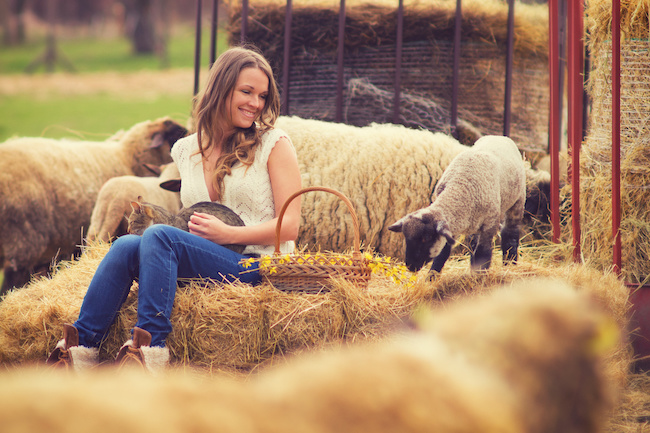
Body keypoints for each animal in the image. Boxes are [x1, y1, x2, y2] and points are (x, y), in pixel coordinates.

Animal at [388, 135, 524, 276]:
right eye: (406, 237)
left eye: (427, 238)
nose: (411, 266)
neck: (461, 185)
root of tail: (499, 136)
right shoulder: (452, 225)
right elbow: (442, 254)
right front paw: (431, 278)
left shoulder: (489, 225)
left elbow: (483, 254)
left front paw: (479, 277)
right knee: (473, 243)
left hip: (518, 200)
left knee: (510, 233)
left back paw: (510, 263)